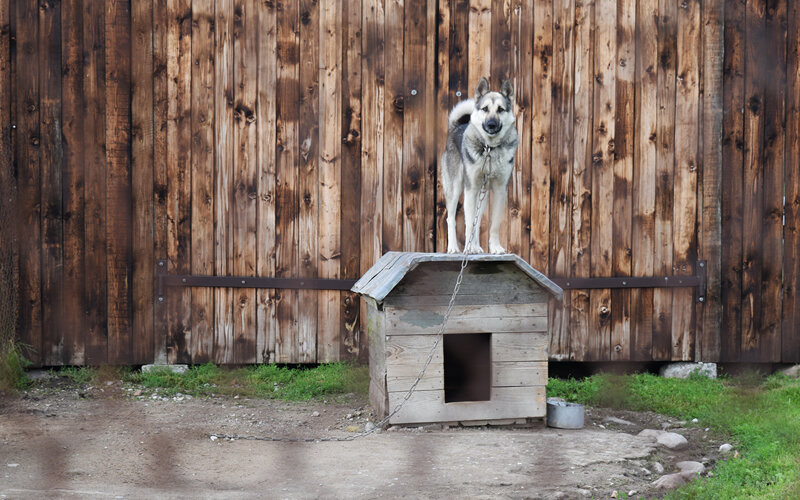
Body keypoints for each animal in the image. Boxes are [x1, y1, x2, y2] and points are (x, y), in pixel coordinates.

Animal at [438, 77, 520, 254]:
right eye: (485, 109)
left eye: (501, 109)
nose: (491, 124)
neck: (489, 149)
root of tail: (456, 127)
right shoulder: (471, 189)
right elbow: (469, 223)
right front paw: (468, 249)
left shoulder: (500, 190)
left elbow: (493, 225)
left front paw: (495, 247)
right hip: (455, 189)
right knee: (451, 219)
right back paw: (454, 247)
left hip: (483, 195)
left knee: (477, 222)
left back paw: (475, 246)